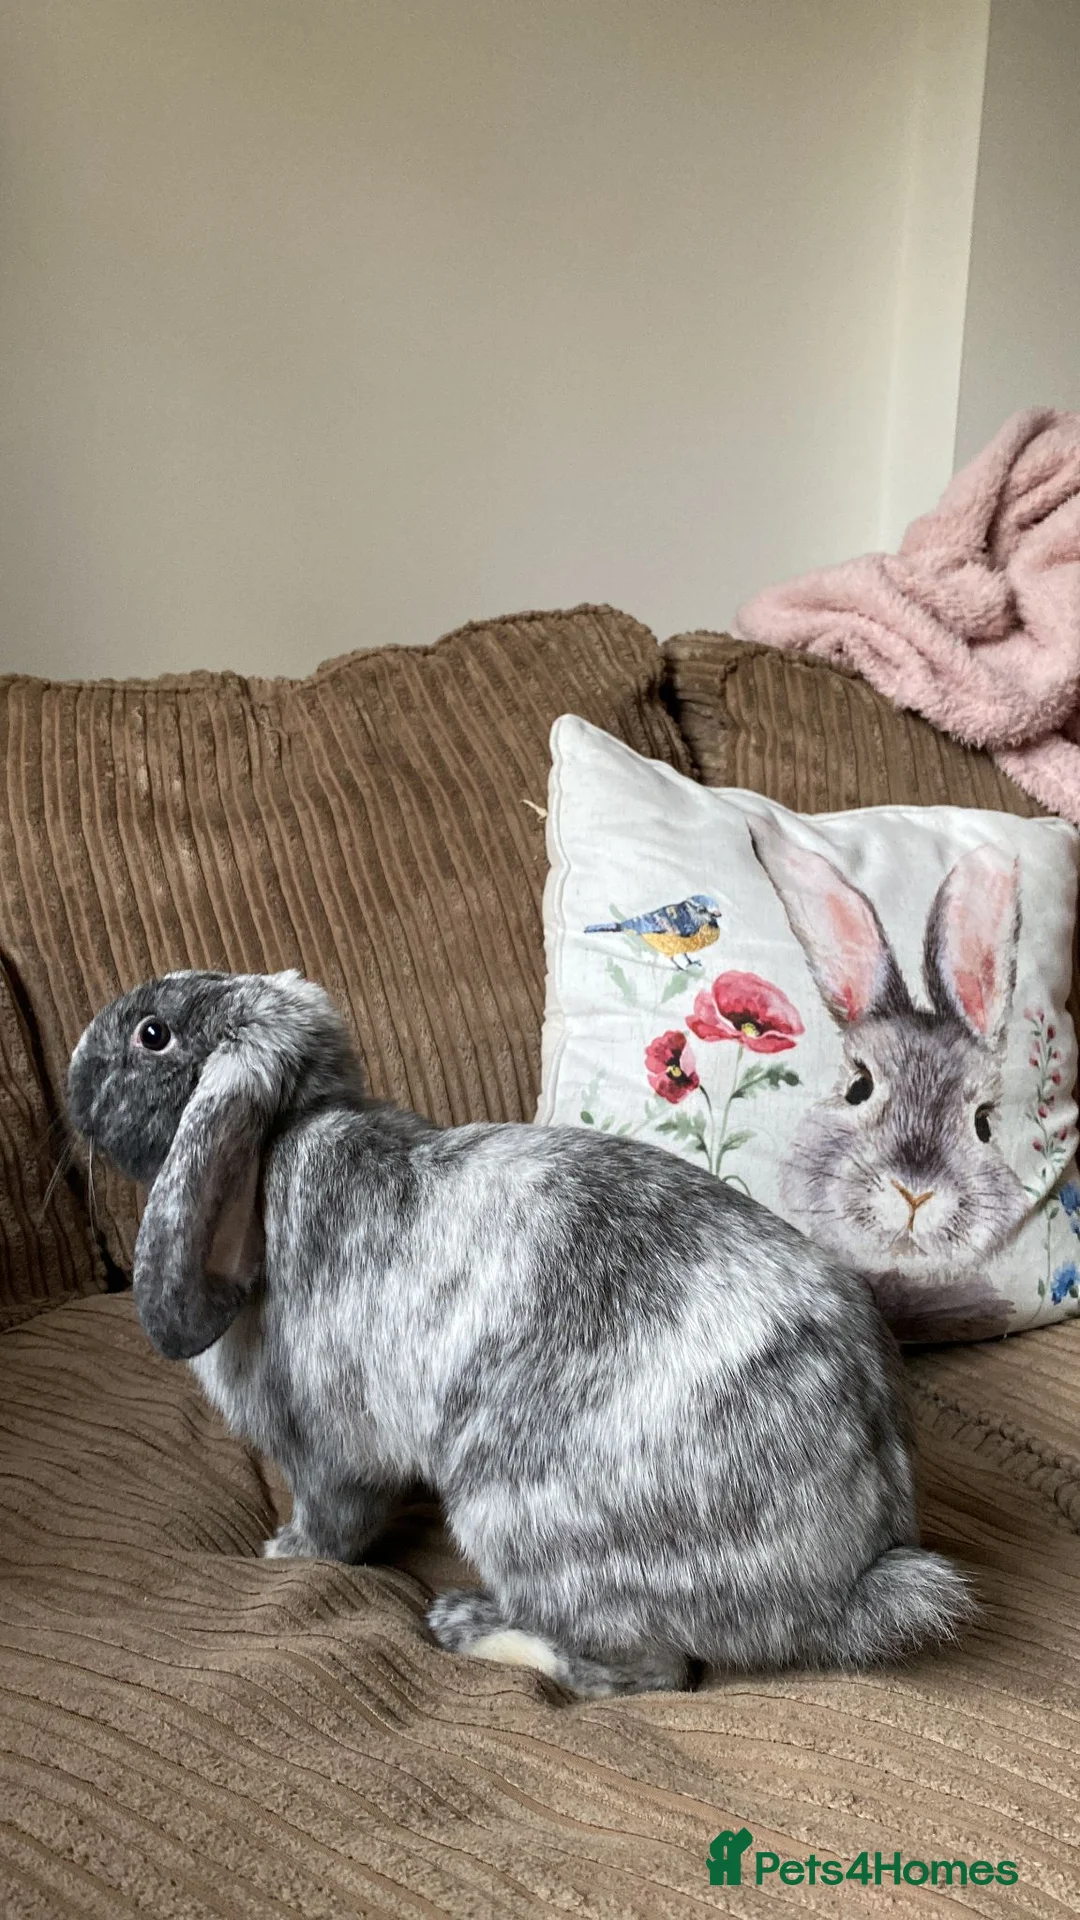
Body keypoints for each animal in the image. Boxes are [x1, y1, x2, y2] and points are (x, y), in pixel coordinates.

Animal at [67, 967, 975, 1696]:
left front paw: (284, 1554)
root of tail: (849, 1586)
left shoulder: (322, 1452)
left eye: (153, 1035)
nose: (76, 1074)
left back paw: (470, 1627)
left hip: (514, 1514)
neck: (281, 1139)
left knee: (649, 1674)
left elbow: (335, 1525)